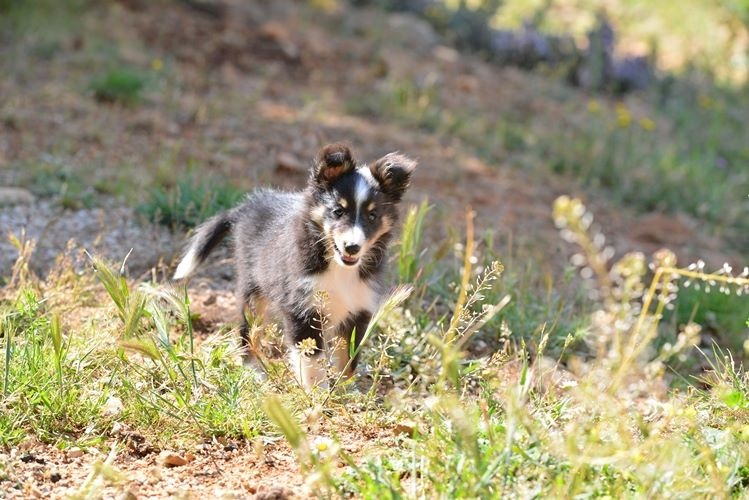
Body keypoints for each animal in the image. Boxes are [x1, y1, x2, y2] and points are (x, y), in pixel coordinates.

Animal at [174, 143, 414, 388]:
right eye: (338, 211)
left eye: (372, 216)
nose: (352, 247)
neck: (338, 268)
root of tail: (246, 207)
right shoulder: (302, 307)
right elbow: (312, 359)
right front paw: (317, 392)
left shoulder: (358, 309)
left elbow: (348, 359)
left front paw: (344, 390)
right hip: (252, 288)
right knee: (248, 330)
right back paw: (253, 369)